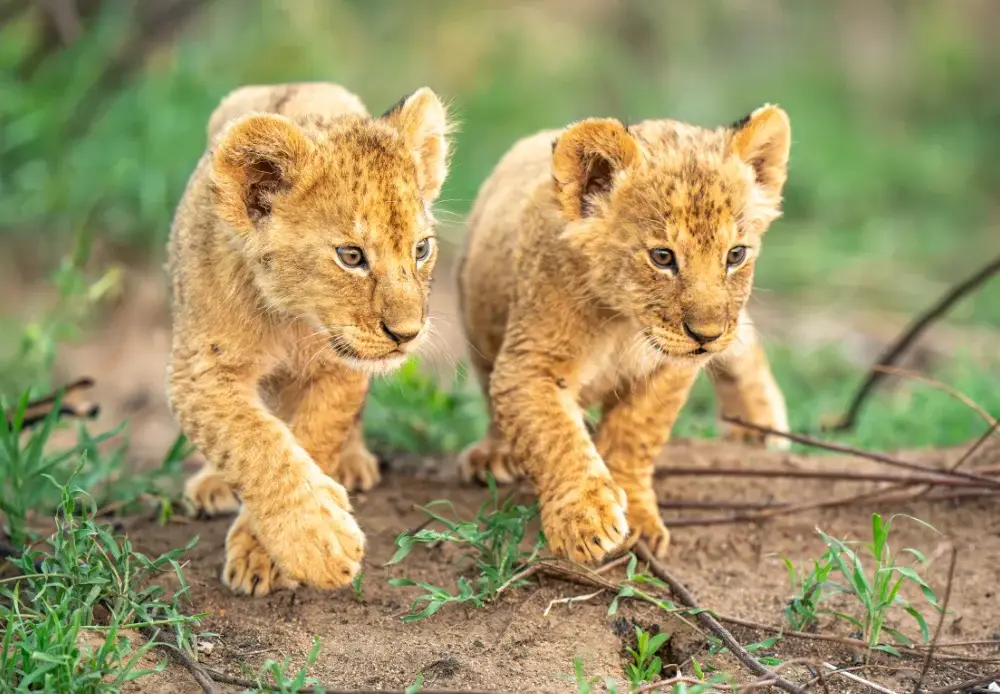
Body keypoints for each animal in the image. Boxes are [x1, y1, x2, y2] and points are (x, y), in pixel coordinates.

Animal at [167, 82, 451, 595]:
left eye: (421, 249)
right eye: (351, 256)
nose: (407, 334)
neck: (292, 319)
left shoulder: (341, 368)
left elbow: (314, 434)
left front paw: (264, 552)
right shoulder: (199, 370)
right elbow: (252, 440)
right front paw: (317, 542)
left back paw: (354, 463)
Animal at [457, 105, 791, 563]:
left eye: (735, 255)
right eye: (663, 257)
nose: (706, 335)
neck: (623, 324)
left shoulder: (670, 369)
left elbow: (635, 435)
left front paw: (640, 521)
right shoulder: (530, 365)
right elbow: (556, 438)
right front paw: (585, 522)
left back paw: (760, 426)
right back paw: (493, 454)